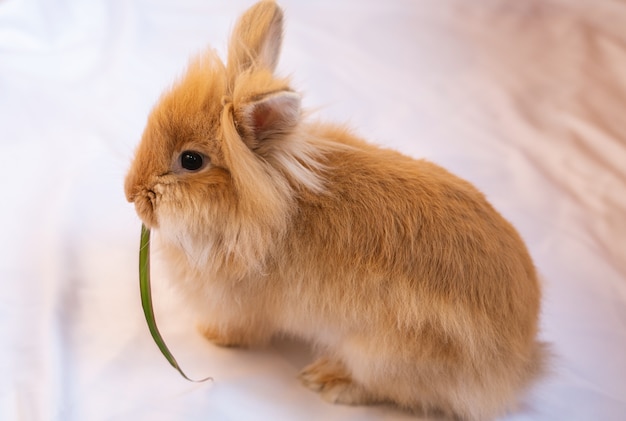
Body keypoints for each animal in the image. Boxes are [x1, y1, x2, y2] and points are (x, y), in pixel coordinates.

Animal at [125, 1, 544, 418]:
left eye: (191, 160)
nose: (131, 194)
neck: (268, 208)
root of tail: (517, 362)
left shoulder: (241, 308)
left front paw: (210, 336)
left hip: (380, 355)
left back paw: (328, 380)